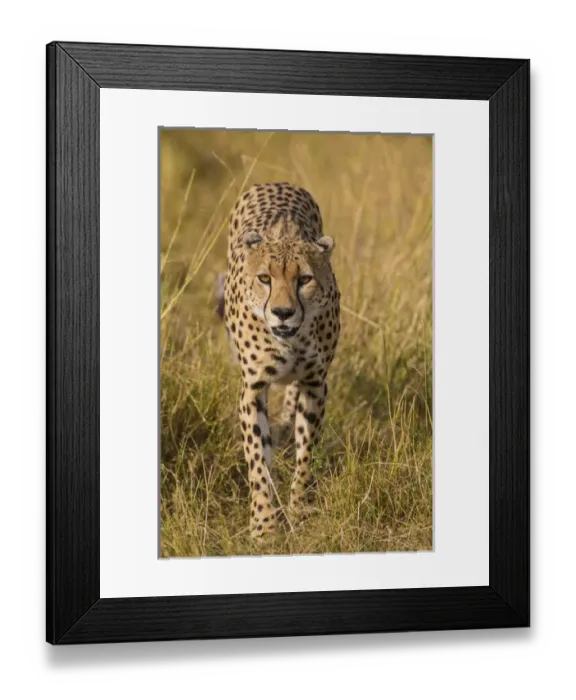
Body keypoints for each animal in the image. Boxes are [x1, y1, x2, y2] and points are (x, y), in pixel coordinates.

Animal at [216, 182, 340, 538]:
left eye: (305, 279)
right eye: (264, 279)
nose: (283, 312)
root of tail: (277, 183)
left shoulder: (315, 383)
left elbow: (306, 450)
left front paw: (299, 509)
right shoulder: (253, 387)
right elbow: (258, 457)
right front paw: (264, 523)